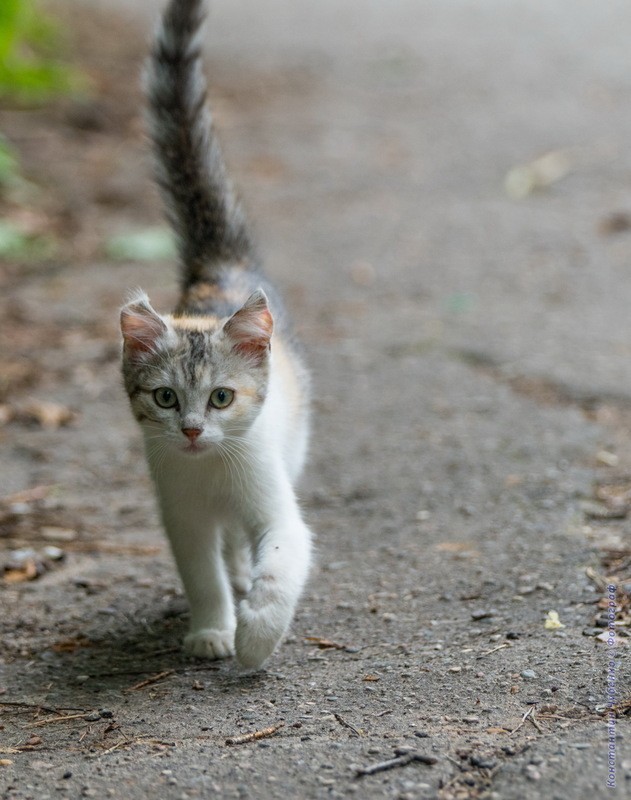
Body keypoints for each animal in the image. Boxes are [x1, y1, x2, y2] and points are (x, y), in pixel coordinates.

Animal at [119, 0, 314, 664]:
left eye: (222, 397)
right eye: (165, 397)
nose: (193, 430)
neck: (209, 473)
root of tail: (218, 267)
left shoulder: (274, 502)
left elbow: (282, 557)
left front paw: (257, 636)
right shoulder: (180, 513)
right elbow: (200, 572)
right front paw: (212, 629)